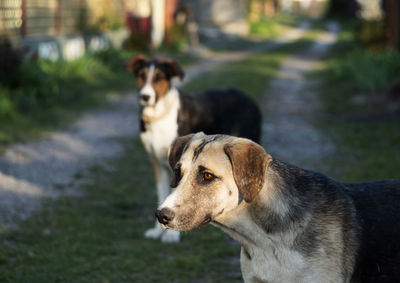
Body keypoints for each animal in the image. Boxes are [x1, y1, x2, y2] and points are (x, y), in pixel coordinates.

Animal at [126, 56, 262, 244]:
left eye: (159, 78)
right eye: (141, 75)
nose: (145, 96)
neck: (158, 116)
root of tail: (248, 98)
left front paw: (171, 235)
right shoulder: (158, 164)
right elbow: (162, 195)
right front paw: (158, 231)